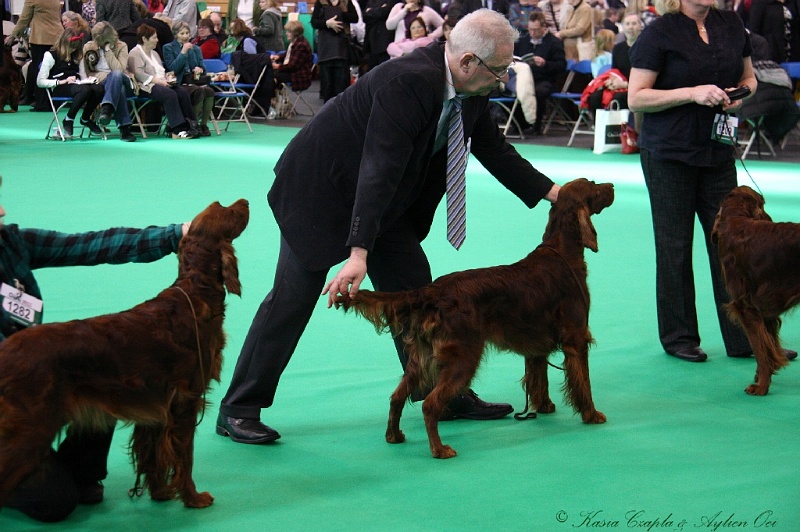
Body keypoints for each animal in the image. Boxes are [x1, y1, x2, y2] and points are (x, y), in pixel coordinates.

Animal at [0, 201, 248, 512]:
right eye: (228, 211)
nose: (246, 201)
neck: (195, 292)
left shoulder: (157, 407)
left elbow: (153, 457)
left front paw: (161, 493)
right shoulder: (185, 401)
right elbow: (185, 456)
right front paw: (193, 498)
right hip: (29, 432)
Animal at [336, 178, 612, 458]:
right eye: (594, 186)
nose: (611, 186)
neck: (563, 251)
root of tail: (431, 292)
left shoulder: (536, 346)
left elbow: (539, 379)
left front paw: (544, 406)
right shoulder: (576, 338)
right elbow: (583, 382)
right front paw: (592, 415)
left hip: (420, 358)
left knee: (397, 396)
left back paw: (394, 436)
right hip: (463, 356)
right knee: (430, 404)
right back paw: (440, 449)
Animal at [712, 187, 800, 394]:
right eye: (763, 204)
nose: (769, 218)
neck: (736, 219)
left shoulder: (747, 308)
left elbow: (759, 350)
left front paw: (761, 387)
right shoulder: (763, 311)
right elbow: (766, 346)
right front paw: (761, 378)